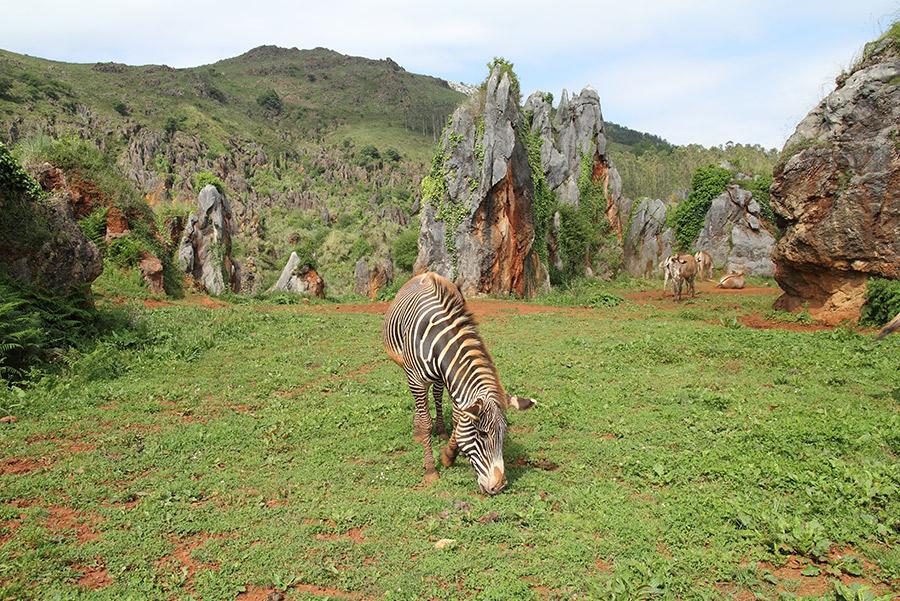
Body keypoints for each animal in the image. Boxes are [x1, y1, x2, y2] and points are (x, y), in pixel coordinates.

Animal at [382, 272, 536, 492]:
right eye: (482, 434)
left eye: (504, 434)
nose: (499, 486)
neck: (439, 342)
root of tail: (426, 273)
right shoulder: (417, 380)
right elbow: (426, 421)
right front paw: (431, 469)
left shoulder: (454, 383)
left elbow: (457, 418)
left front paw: (448, 456)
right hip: (407, 369)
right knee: (420, 403)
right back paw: (418, 429)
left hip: (439, 379)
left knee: (436, 395)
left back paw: (441, 431)